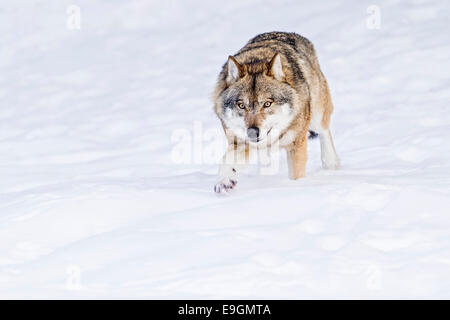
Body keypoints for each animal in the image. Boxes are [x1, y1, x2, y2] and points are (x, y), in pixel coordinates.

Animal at [213, 32, 340, 194]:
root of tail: (291, 34)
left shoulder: (296, 145)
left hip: (317, 115)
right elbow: (225, 160)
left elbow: (296, 175)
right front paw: (223, 180)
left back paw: (331, 164)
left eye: (267, 104)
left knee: (324, 130)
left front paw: (296, 188)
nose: (253, 132)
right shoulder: (240, 142)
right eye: (241, 106)